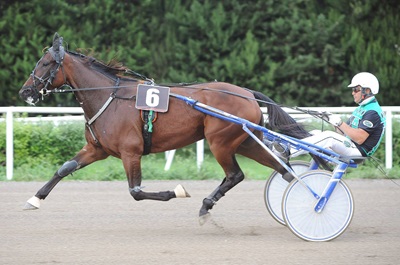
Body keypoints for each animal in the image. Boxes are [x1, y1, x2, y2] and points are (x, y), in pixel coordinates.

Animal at [20, 32, 310, 223]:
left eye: (45, 63)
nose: (25, 91)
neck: (108, 97)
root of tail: (247, 93)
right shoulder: (97, 149)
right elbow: (64, 168)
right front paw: (33, 199)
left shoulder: (130, 151)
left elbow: (136, 192)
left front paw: (176, 191)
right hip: (246, 141)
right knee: (281, 167)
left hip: (221, 142)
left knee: (235, 175)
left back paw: (206, 206)